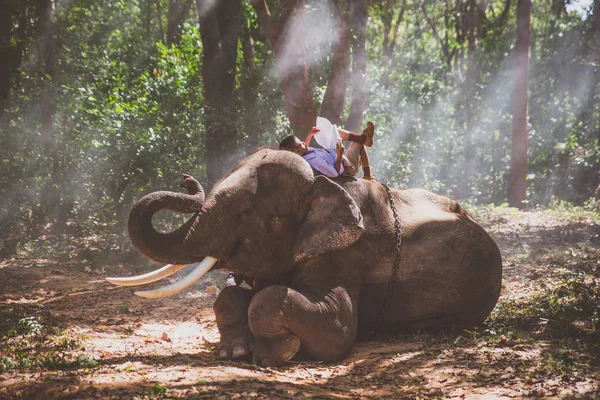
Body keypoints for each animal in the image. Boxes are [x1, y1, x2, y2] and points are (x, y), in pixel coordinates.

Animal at [106, 149, 502, 366]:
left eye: (248, 212)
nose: (186, 179)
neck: (322, 183)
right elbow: (231, 295)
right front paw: (234, 352)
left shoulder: (345, 256)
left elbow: (337, 329)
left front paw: (277, 354)